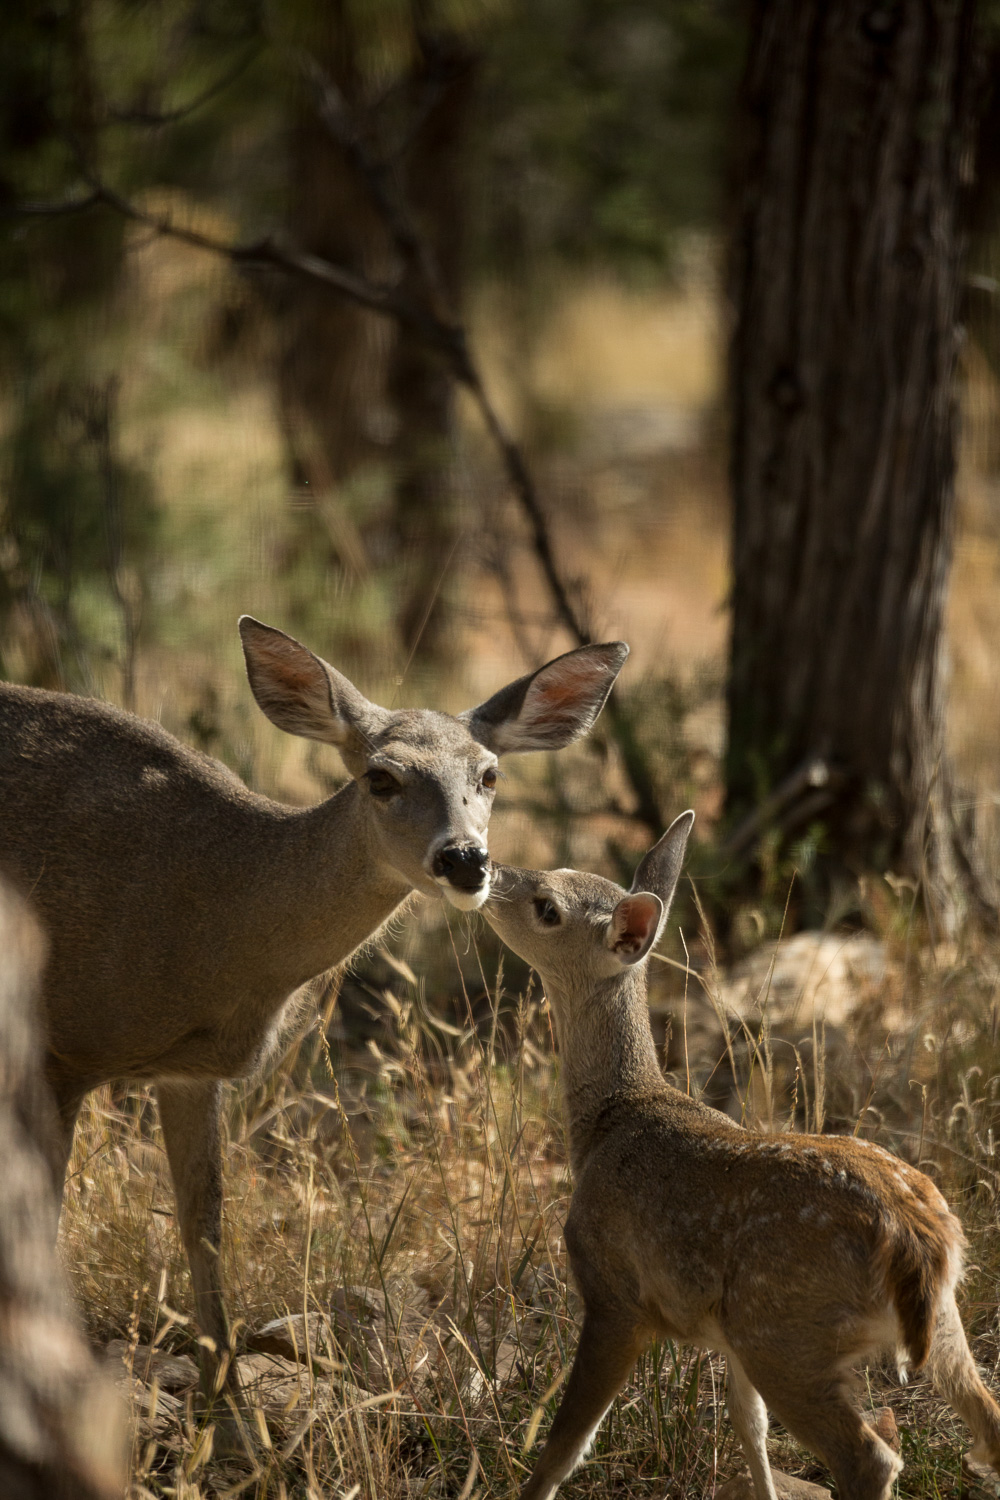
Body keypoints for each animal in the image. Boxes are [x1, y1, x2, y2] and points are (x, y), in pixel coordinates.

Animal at [0, 617, 628, 1405]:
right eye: (381, 778)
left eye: (490, 775)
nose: (465, 860)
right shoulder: (63, 1045)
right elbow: (43, 1212)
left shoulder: (192, 1070)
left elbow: (203, 1214)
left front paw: (227, 1394)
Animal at [482, 813, 1000, 1500]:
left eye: (547, 906)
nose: (484, 868)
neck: (609, 1121)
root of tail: (918, 1238)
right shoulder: (721, 1336)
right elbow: (746, 1423)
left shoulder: (613, 1290)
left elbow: (566, 1444)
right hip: (937, 1323)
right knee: (989, 1424)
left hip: (782, 1330)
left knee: (871, 1457)